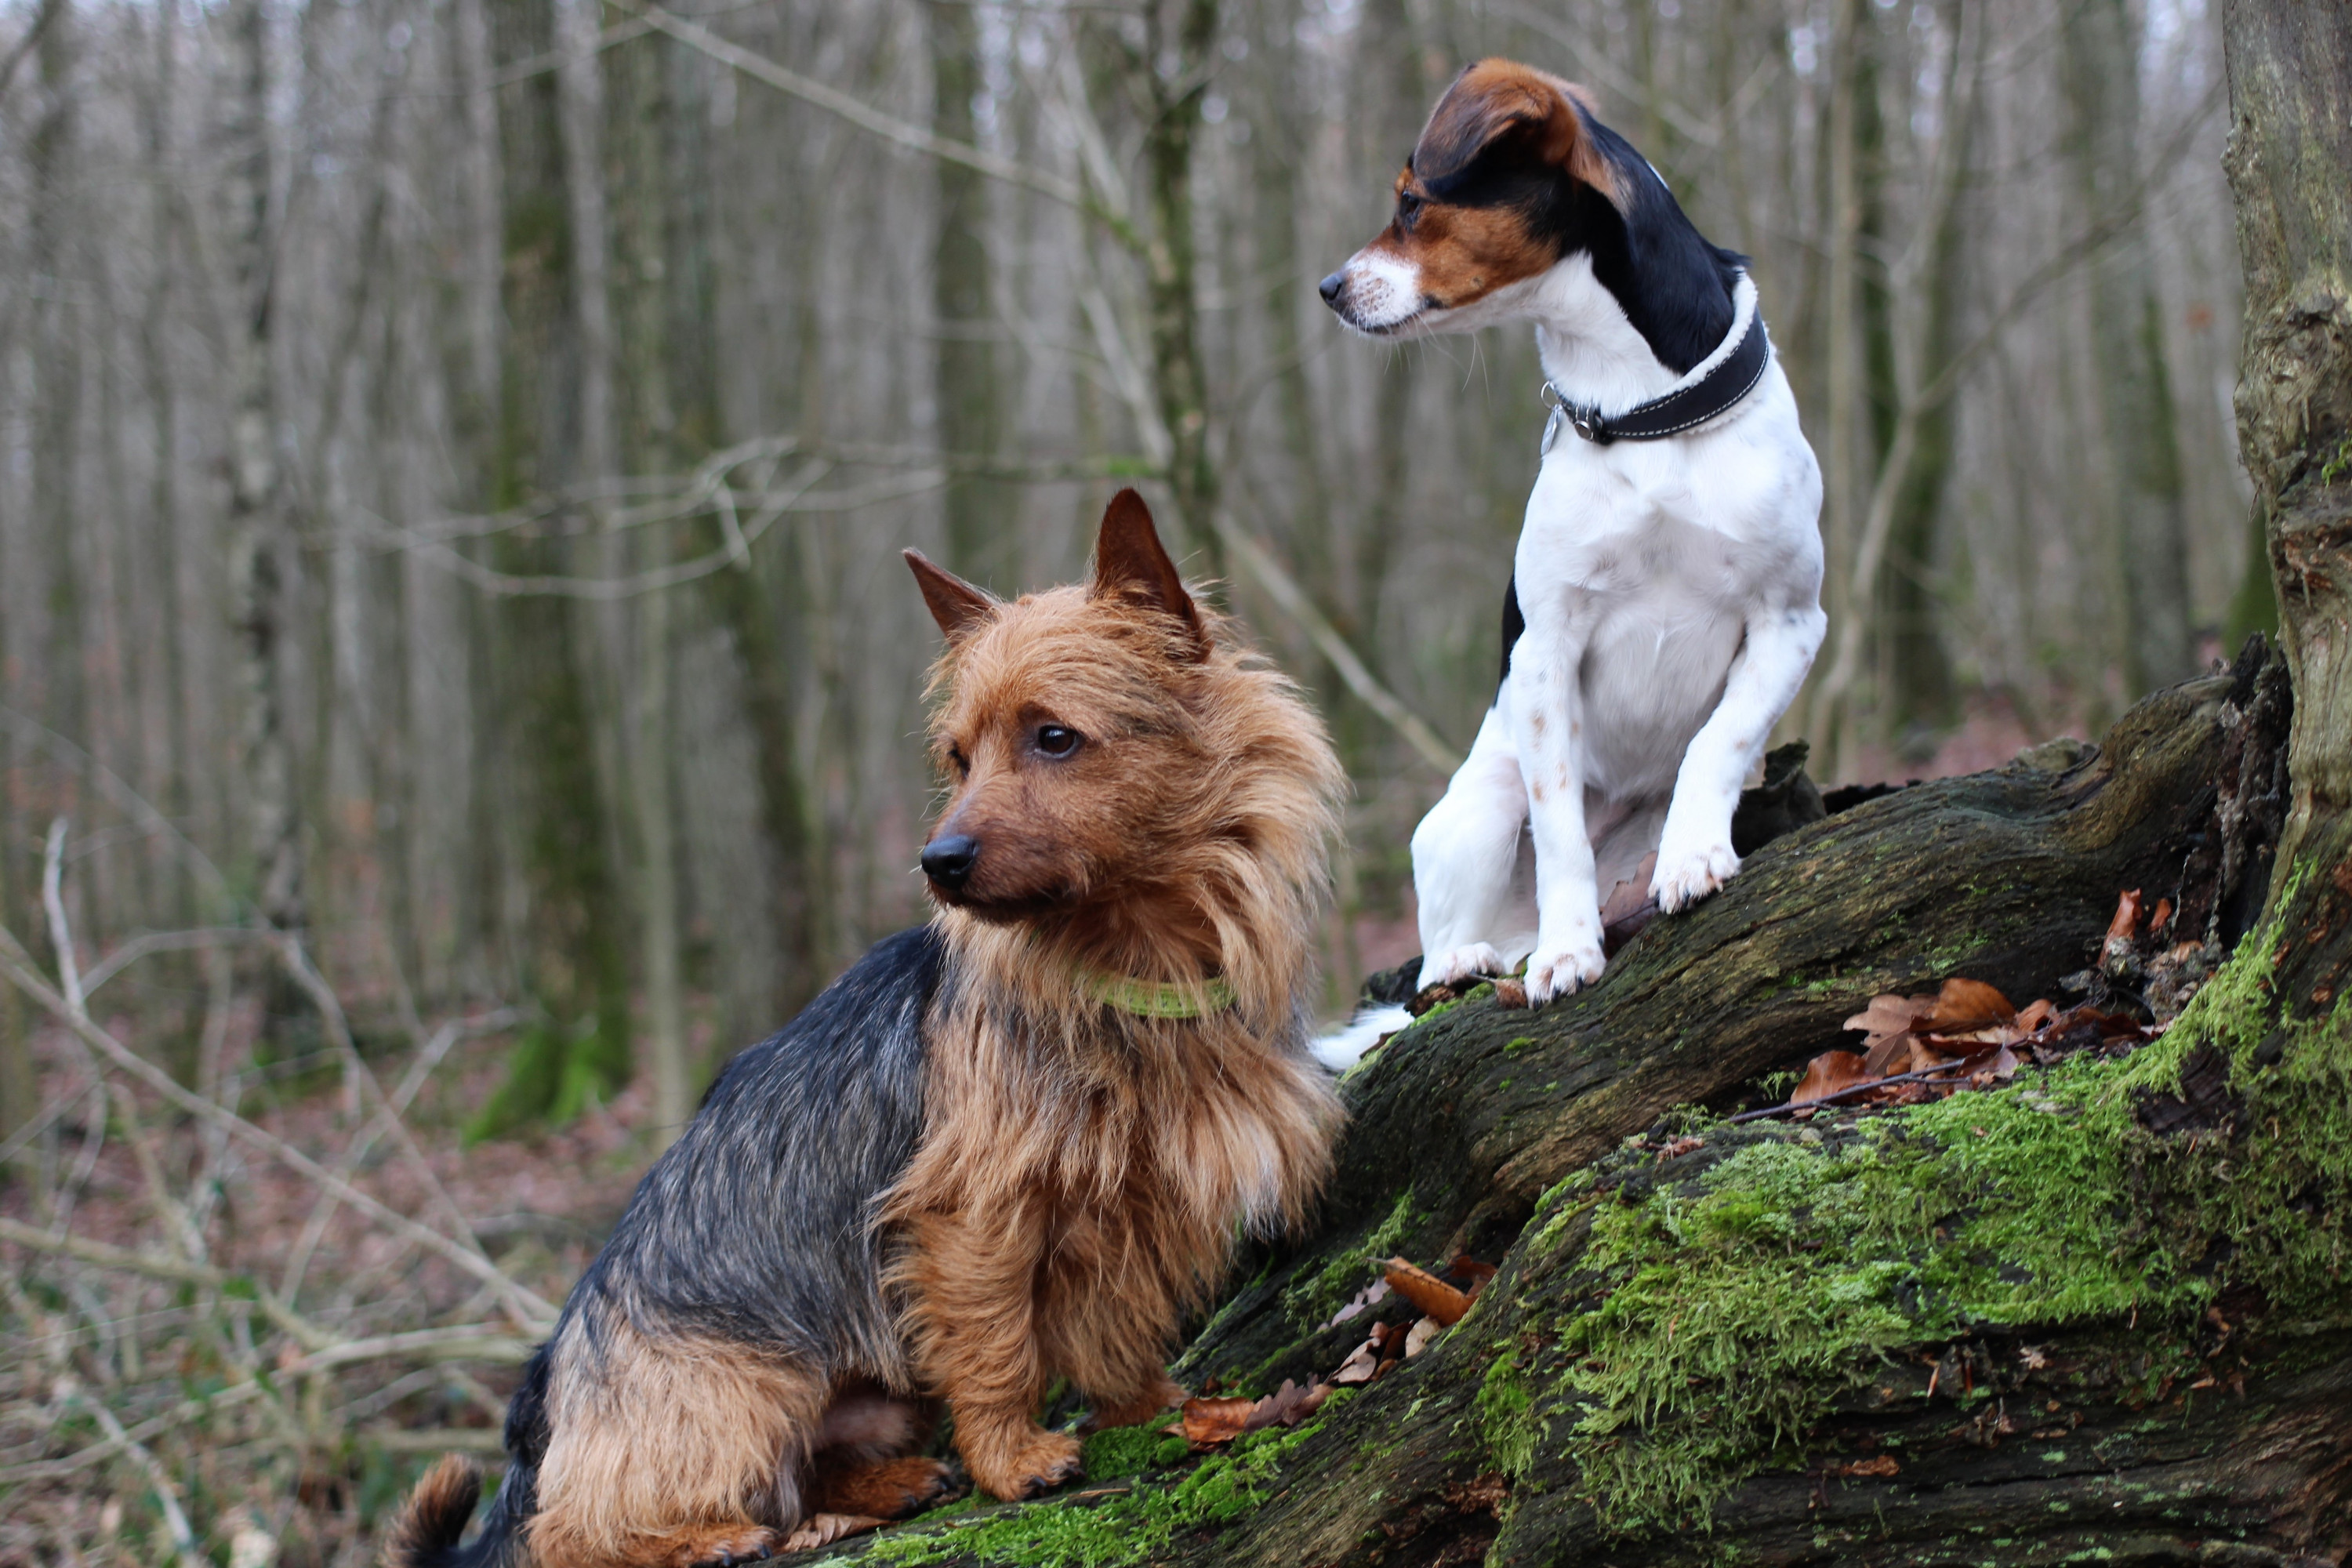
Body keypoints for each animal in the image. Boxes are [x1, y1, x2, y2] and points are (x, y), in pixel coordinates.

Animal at [1327, 58, 1816, 1006]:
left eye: (1412, 202)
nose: (1327, 289)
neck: (1639, 409)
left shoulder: (1789, 622)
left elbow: (1717, 741)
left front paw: (1694, 853)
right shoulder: (1547, 650)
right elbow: (1560, 833)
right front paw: (1568, 951)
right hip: (1475, 813)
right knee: (1438, 954)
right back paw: (1483, 956)